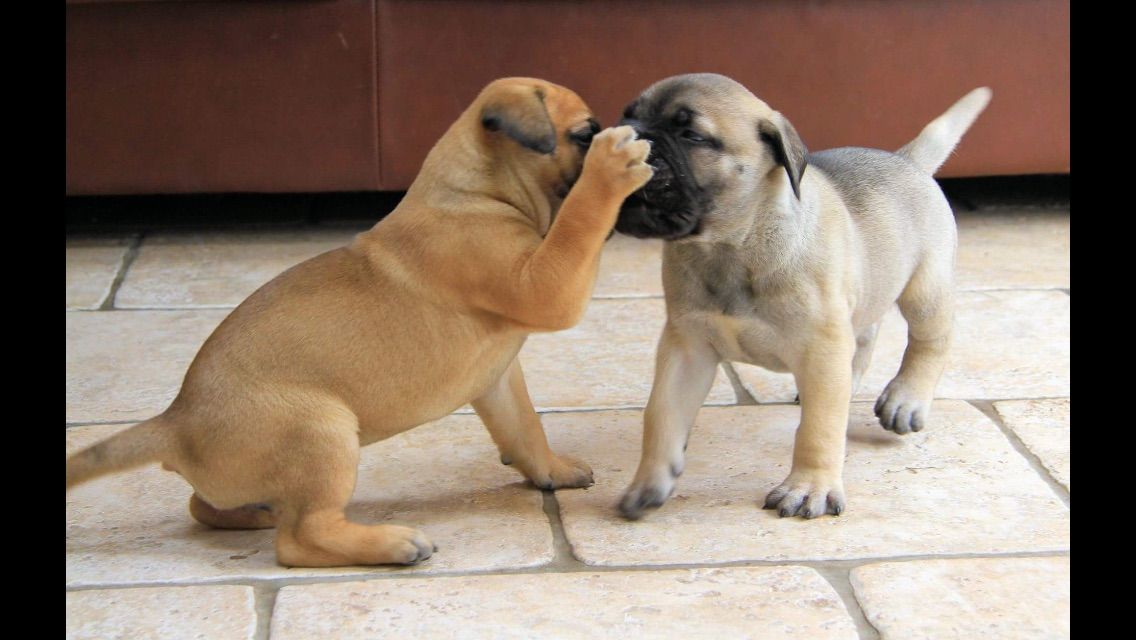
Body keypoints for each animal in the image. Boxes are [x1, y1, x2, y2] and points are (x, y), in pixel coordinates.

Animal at [71, 79, 654, 566]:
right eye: (584, 134)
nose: (610, 136)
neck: (479, 193)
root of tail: (175, 422)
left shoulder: (497, 379)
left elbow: (525, 427)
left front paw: (551, 470)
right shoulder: (547, 286)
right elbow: (579, 221)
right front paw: (611, 167)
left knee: (205, 506)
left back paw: (257, 512)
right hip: (322, 431)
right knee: (300, 538)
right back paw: (390, 543)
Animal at [608, 73, 990, 520]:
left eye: (691, 135)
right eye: (627, 115)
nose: (625, 136)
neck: (730, 245)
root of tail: (907, 161)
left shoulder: (821, 347)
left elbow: (818, 429)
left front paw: (810, 488)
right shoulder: (687, 348)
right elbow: (662, 415)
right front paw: (650, 480)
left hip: (925, 289)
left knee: (930, 342)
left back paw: (906, 399)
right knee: (864, 340)